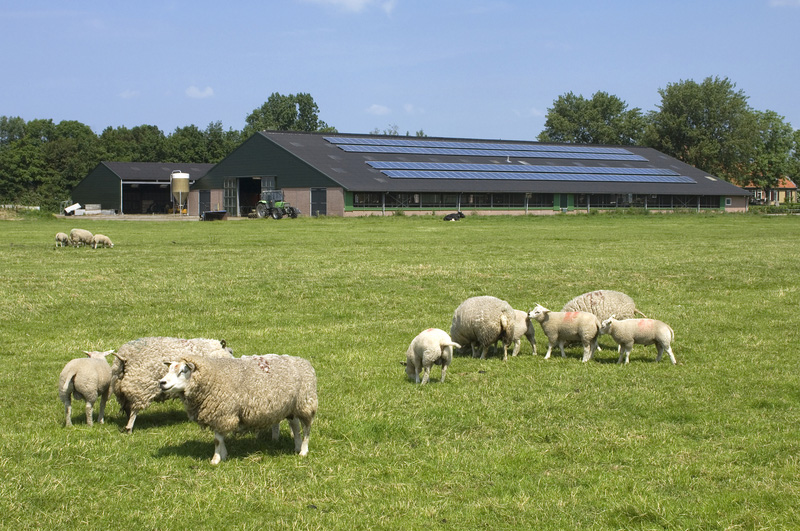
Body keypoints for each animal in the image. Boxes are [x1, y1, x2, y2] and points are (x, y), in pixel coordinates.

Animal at [159, 354, 318, 464]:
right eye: (169, 369)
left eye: (183, 370)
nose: (162, 382)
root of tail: (304, 361)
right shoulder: (218, 414)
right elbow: (219, 438)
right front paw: (223, 455)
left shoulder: (222, 412)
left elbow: (217, 440)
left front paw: (215, 460)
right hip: (292, 407)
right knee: (295, 426)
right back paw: (297, 447)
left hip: (305, 403)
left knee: (306, 428)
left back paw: (303, 451)